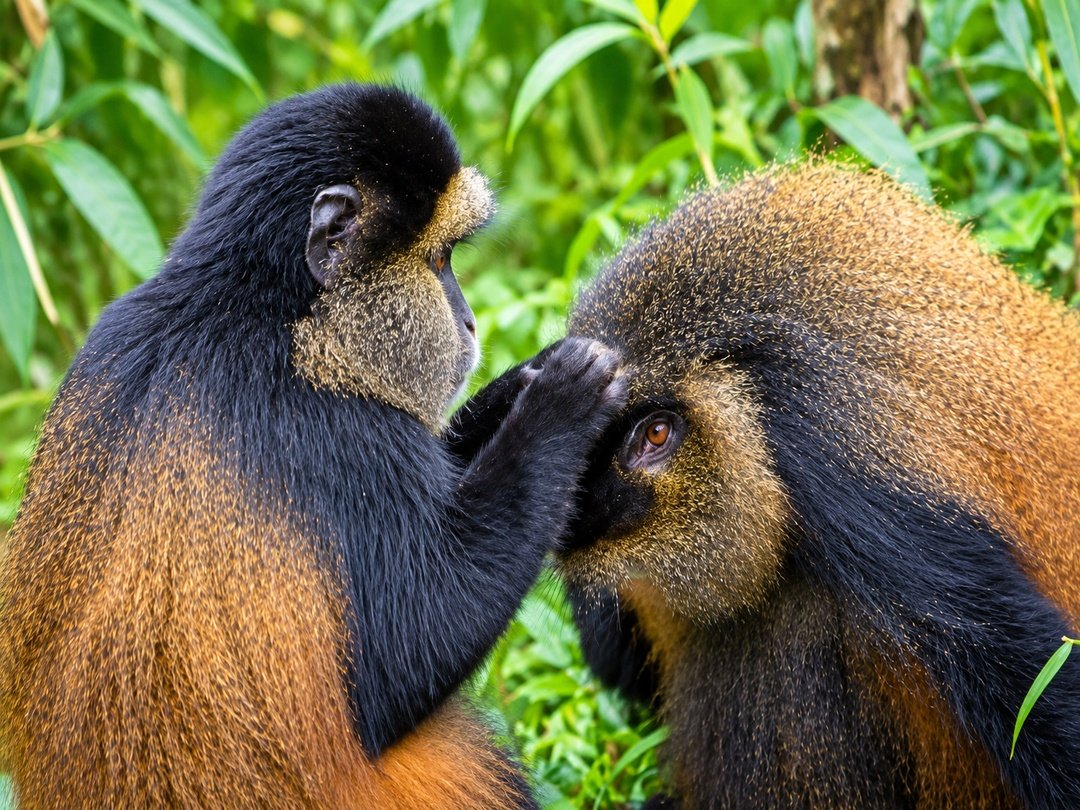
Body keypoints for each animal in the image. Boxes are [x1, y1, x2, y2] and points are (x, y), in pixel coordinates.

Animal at [0, 83, 627, 809]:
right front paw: (560, 396)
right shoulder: (338, 433)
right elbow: (413, 650)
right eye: (440, 261)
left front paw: (521, 383)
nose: (470, 321)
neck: (267, 309)